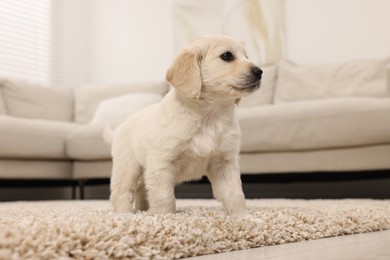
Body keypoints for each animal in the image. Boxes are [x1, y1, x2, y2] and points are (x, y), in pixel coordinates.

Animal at [106, 34, 264, 217]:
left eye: (246, 56)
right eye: (227, 56)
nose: (260, 71)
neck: (209, 115)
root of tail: (117, 129)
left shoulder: (225, 162)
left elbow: (235, 194)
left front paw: (242, 216)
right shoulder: (161, 163)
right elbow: (164, 197)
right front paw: (164, 217)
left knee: (140, 188)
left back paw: (143, 209)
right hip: (128, 167)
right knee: (121, 191)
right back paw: (125, 214)